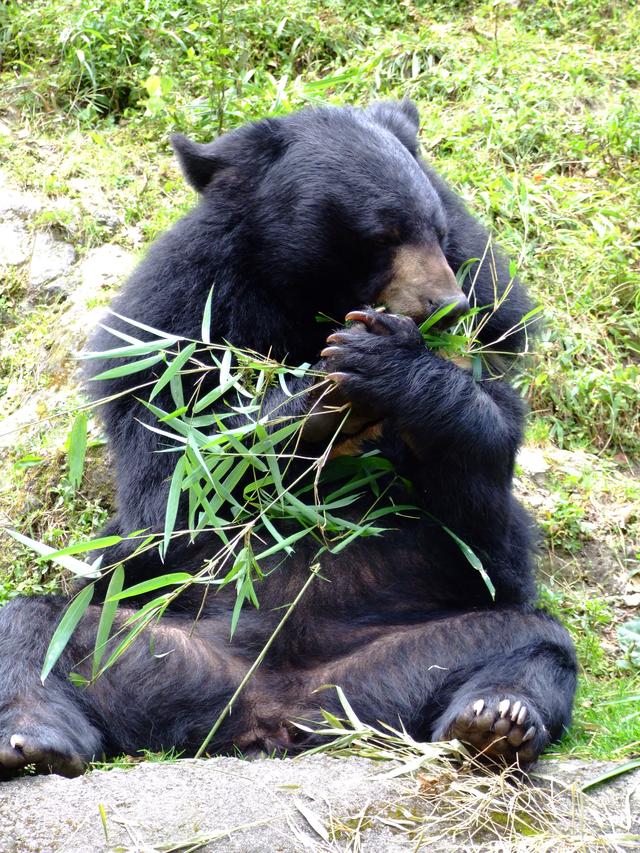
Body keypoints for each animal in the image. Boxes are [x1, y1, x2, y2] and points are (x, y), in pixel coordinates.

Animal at [0, 101, 576, 780]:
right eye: (383, 235)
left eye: (436, 231)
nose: (447, 306)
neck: (305, 305)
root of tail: (277, 712)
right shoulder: (173, 323)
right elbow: (172, 485)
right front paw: (323, 399)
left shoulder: (495, 328)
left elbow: (486, 514)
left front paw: (388, 366)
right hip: (138, 634)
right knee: (34, 629)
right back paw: (36, 739)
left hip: (422, 649)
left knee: (531, 643)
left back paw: (493, 723)